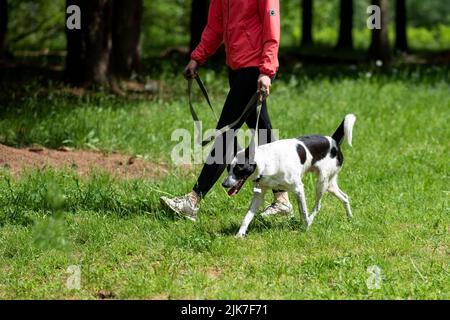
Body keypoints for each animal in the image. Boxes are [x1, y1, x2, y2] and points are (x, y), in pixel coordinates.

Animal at [221, 114, 356, 236]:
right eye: (228, 169)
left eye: (238, 169)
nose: (224, 184)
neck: (266, 162)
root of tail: (333, 141)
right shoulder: (259, 195)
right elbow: (247, 216)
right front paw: (240, 234)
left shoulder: (299, 189)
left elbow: (303, 211)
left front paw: (305, 228)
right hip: (329, 185)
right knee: (345, 197)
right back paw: (350, 218)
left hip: (321, 183)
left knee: (318, 205)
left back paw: (311, 221)